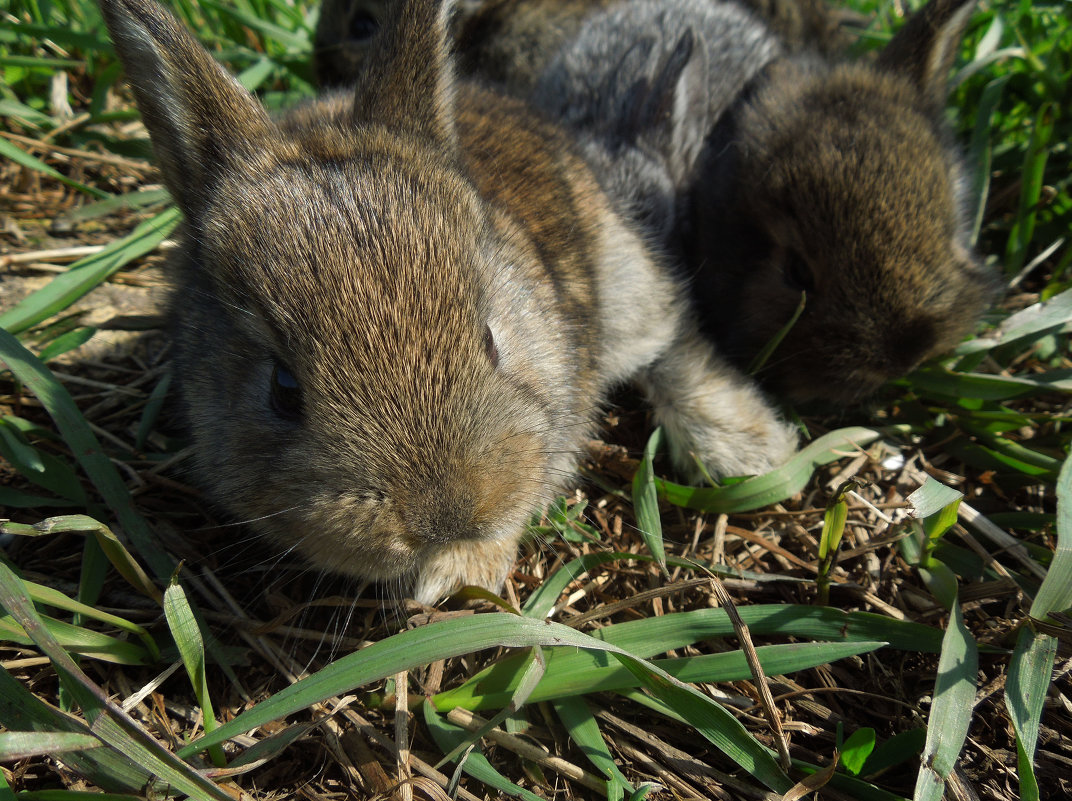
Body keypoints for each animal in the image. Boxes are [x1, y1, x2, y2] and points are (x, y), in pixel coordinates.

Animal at [98, 0, 797, 604]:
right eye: (283, 390)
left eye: (491, 339)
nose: (448, 516)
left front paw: (461, 571)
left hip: (628, 282)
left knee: (672, 335)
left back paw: (746, 447)